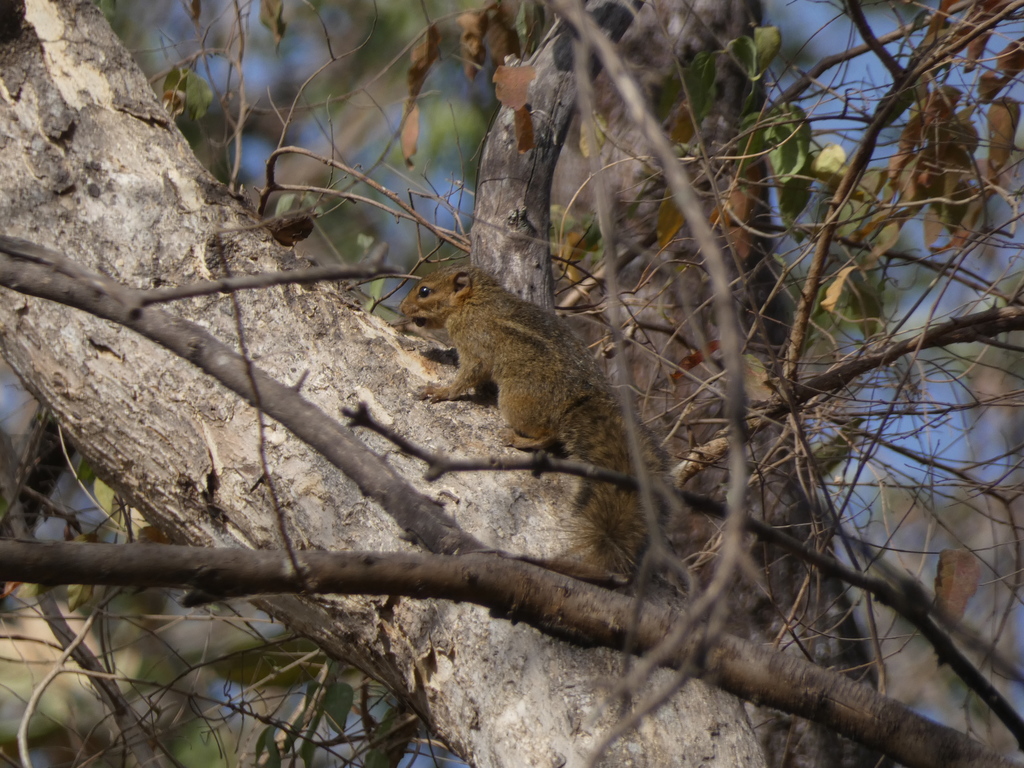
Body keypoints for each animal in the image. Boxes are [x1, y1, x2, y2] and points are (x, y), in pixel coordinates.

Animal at [399, 262, 665, 576]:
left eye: (424, 291)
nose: (402, 308)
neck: (474, 302)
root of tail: (578, 399)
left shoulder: (475, 341)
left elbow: (469, 373)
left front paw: (441, 392)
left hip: (516, 399)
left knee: (549, 434)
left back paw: (517, 439)